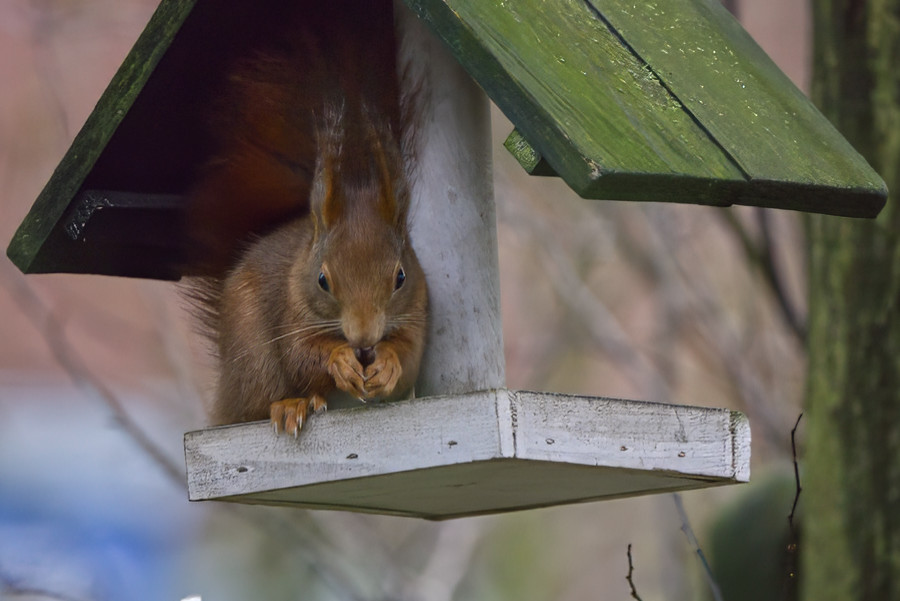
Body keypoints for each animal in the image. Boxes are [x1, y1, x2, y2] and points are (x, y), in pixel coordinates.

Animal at [185, 0, 428, 435]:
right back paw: (292, 404)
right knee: (259, 401)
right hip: (252, 357)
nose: (364, 341)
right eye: (322, 280)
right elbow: (301, 353)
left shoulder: (417, 310)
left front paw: (387, 363)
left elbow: (410, 357)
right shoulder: (292, 307)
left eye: (400, 277)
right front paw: (338, 360)